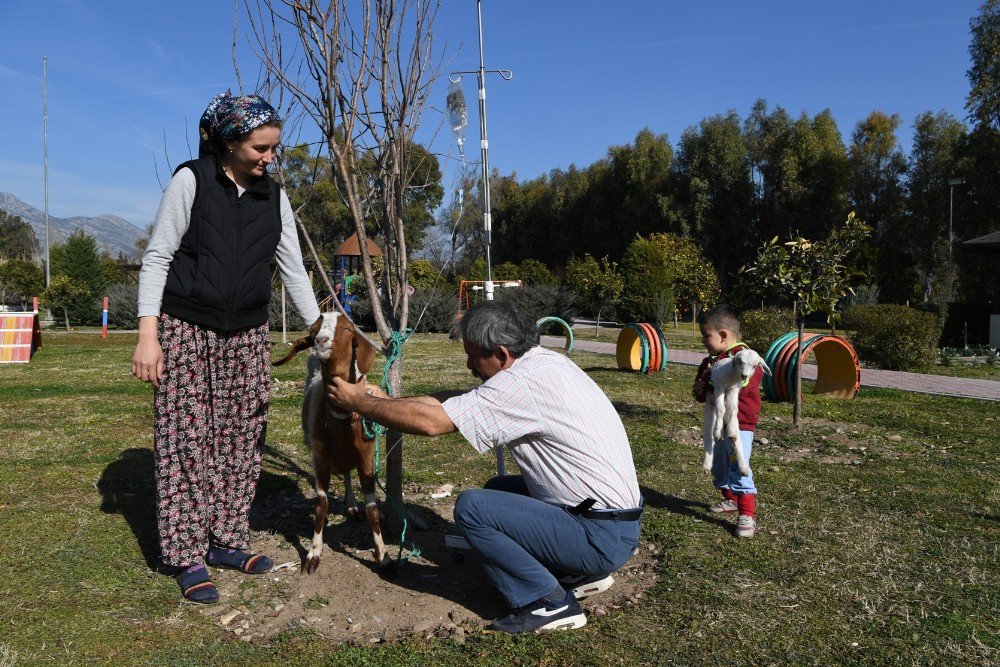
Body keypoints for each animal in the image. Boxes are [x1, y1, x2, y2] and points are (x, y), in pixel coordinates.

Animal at [278, 314, 394, 576]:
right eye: (313, 329)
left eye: (348, 329)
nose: (320, 340)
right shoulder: (320, 460)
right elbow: (321, 505)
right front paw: (313, 553)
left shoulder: (366, 459)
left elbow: (372, 508)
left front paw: (383, 556)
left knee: (348, 473)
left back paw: (351, 505)